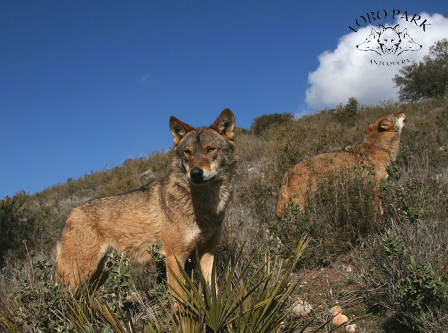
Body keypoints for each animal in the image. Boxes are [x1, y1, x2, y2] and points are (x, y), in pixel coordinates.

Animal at [55, 108, 238, 294]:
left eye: (210, 149)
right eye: (188, 152)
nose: (195, 173)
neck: (206, 205)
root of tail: (69, 215)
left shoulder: (208, 253)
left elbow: (213, 292)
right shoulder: (174, 257)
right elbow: (180, 298)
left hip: (97, 276)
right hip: (78, 277)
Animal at [274, 112, 408, 218]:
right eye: (395, 114)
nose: (403, 112)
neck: (380, 147)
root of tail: (288, 172)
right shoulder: (376, 187)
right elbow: (379, 209)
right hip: (301, 206)